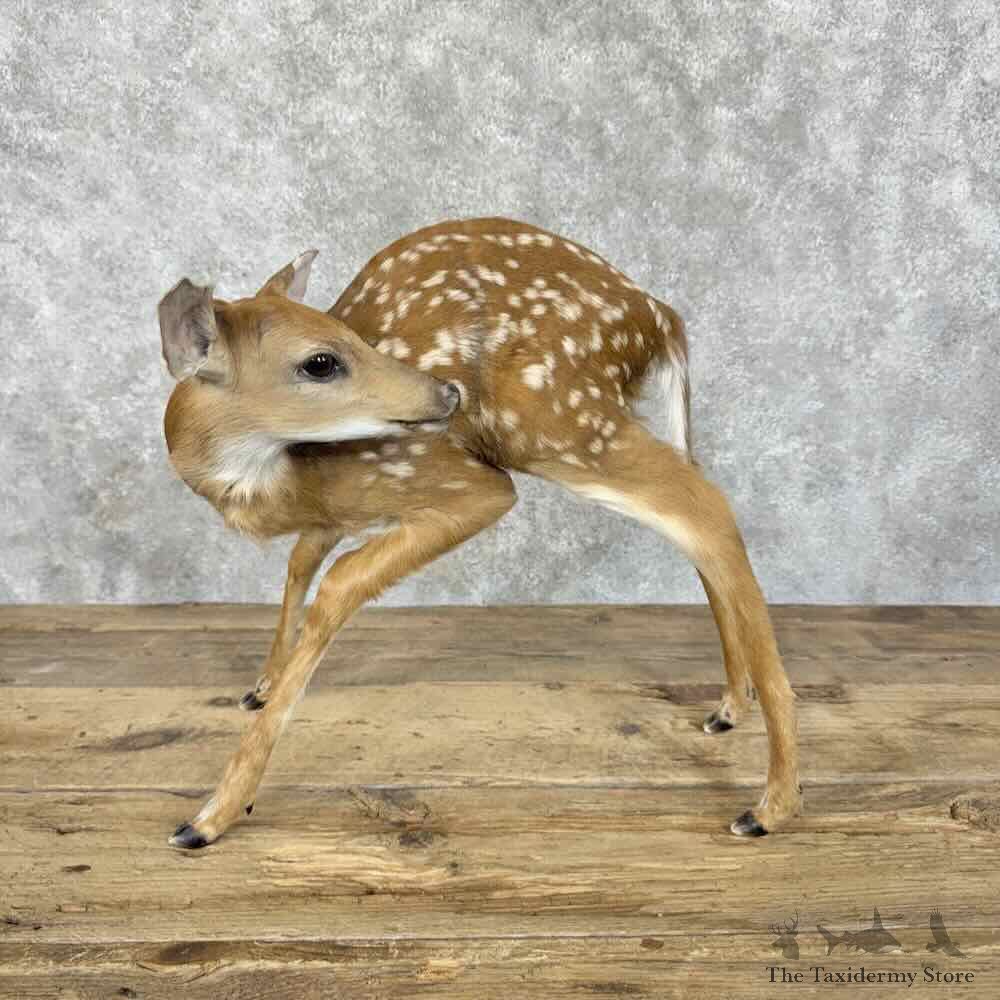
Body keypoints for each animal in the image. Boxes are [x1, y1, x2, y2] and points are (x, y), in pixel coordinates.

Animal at [158, 216, 802, 849]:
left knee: (708, 511)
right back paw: (731, 708)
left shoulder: (457, 481)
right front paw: (260, 686)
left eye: (349, 338)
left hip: (557, 421)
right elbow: (301, 563)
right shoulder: (340, 513)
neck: (285, 482)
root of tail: (660, 316)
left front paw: (211, 814)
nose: (448, 393)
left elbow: (340, 581)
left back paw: (771, 804)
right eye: (320, 361)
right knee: (699, 515)